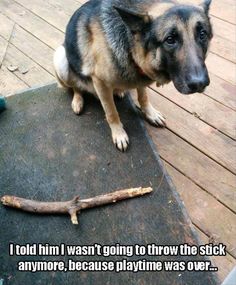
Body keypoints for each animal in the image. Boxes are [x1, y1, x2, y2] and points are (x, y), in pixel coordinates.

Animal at [53, 0, 212, 151]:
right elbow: (111, 112)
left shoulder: (140, 75)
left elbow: (143, 97)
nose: (200, 84)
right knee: (76, 87)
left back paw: (118, 91)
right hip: (61, 59)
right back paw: (78, 100)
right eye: (170, 39)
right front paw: (119, 133)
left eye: (202, 34)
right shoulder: (100, 82)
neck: (129, 43)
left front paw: (150, 113)